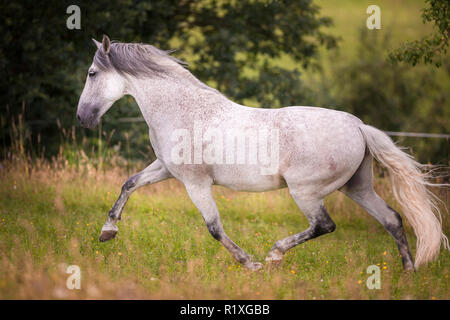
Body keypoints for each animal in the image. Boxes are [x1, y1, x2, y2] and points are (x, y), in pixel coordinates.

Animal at [76, 35, 446, 270]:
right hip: (358, 187)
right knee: (392, 219)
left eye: (92, 73)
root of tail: (359, 126)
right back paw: (408, 273)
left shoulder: (195, 183)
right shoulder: (166, 169)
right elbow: (129, 183)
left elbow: (214, 228)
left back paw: (274, 254)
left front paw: (250, 263)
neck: (183, 110)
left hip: (306, 192)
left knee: (325, 225)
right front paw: (107, 232)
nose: (82, 119)